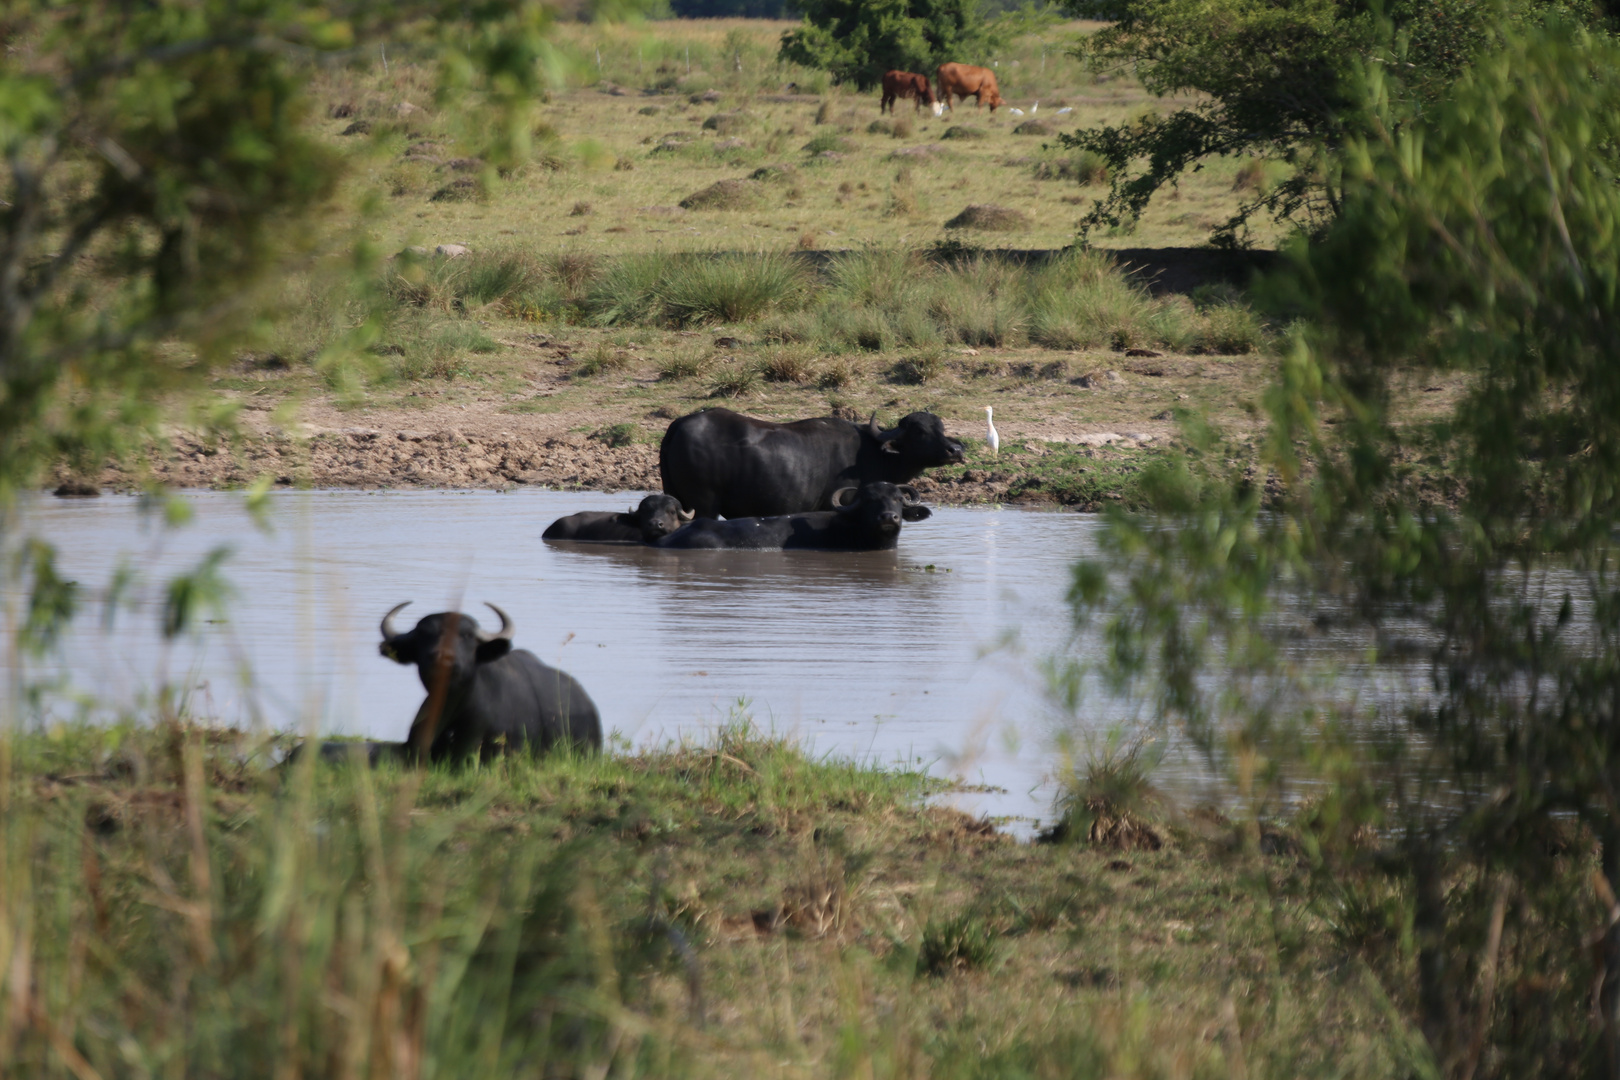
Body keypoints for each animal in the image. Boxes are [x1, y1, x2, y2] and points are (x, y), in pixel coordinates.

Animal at [657, 409, 959, 518]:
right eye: (919, 430)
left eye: (942, 427)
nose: (955, 449)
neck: (875, 454)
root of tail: (680, 422)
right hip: (705, 504)